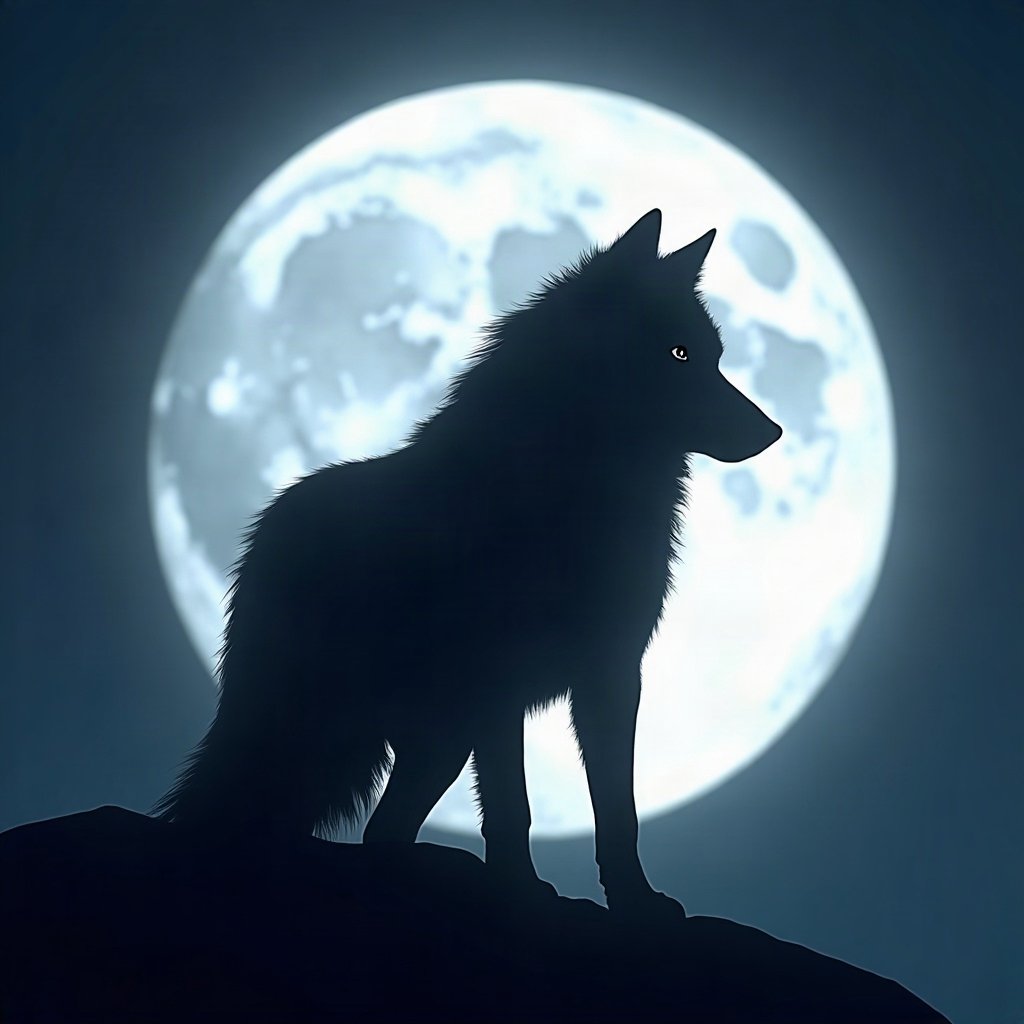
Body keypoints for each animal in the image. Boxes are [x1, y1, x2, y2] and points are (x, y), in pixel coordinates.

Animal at [154, 209, 782, 915]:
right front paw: (519, 889)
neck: (570, 483)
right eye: (679, 355)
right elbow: (514, 806)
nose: (773, 432)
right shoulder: (496, 685)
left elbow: (618, 810)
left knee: (377, 831)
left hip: (429, 744)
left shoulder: (611, 676)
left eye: (714, 357)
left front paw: (634, 900)